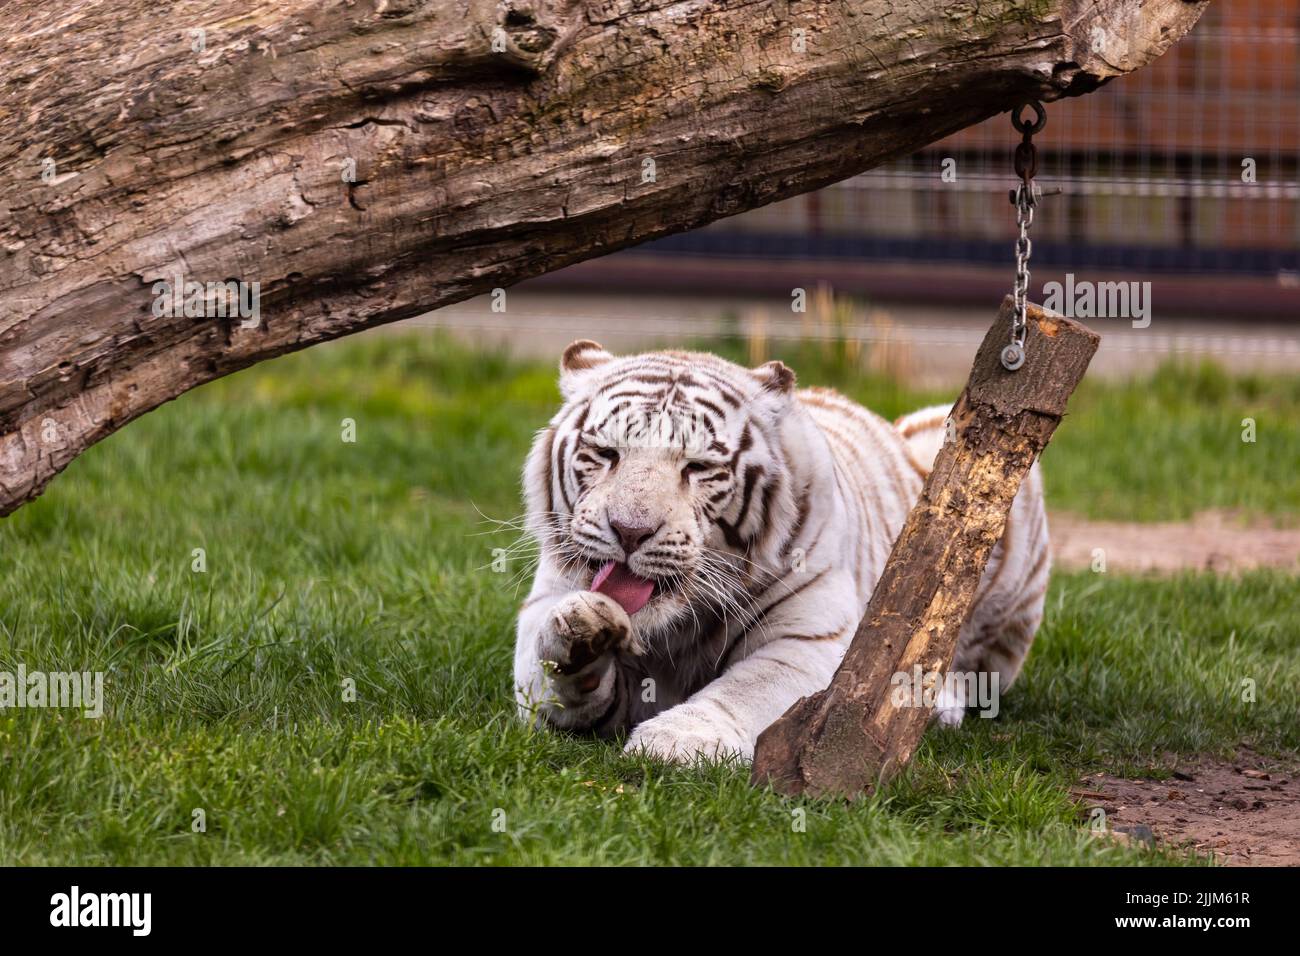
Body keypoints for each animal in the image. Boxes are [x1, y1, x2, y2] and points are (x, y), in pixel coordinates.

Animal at [513, 340, 1050, 763]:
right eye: (606, 454)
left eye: (698, 467)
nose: (629, 531)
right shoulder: (544, 612)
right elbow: (551, 664)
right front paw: (583, 629)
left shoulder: (807, 640)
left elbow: (747, 688)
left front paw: (677, 740)